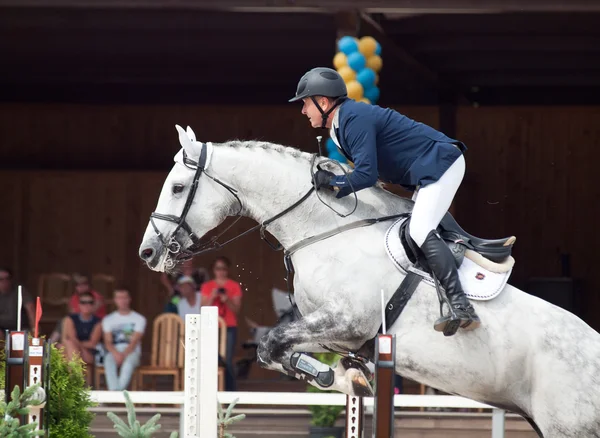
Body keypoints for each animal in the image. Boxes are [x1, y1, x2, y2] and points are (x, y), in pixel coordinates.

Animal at [138, 125, 600, 436]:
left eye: (177, 187)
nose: (149, 253)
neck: (326, 228)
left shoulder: (346, 321)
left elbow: (272, 343)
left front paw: (341, 378)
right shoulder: (335, 333)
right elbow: (279, 351)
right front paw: (345, 377)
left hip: (568, 425)